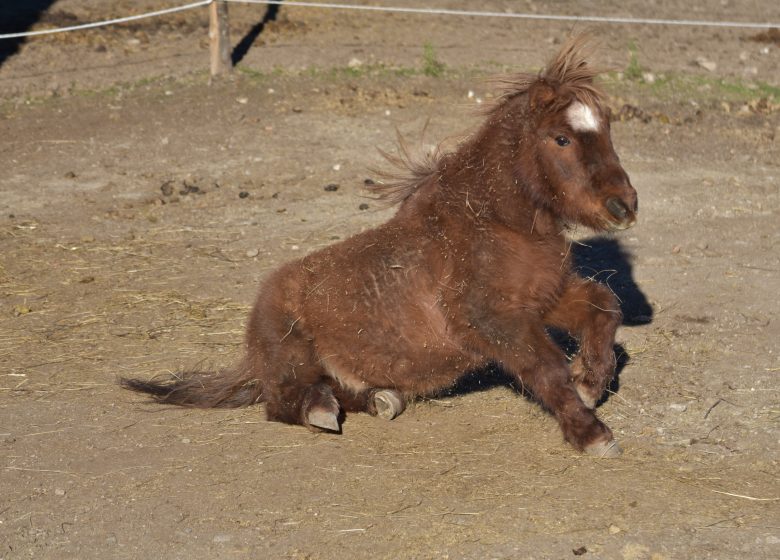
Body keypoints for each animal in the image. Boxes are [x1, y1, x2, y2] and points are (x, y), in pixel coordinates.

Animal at [120, 35, 632, 458]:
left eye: (607, 130)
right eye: (561, 138)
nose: (624, 205)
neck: (493, 221)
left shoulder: (544, 298)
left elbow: (604, 307)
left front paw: (591, 381)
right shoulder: (494, 320)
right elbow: (547, 368)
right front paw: (592, 433)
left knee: (340, 391)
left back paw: (382, 398)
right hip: (291, 357)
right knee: (284, 402)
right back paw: (324, 410)